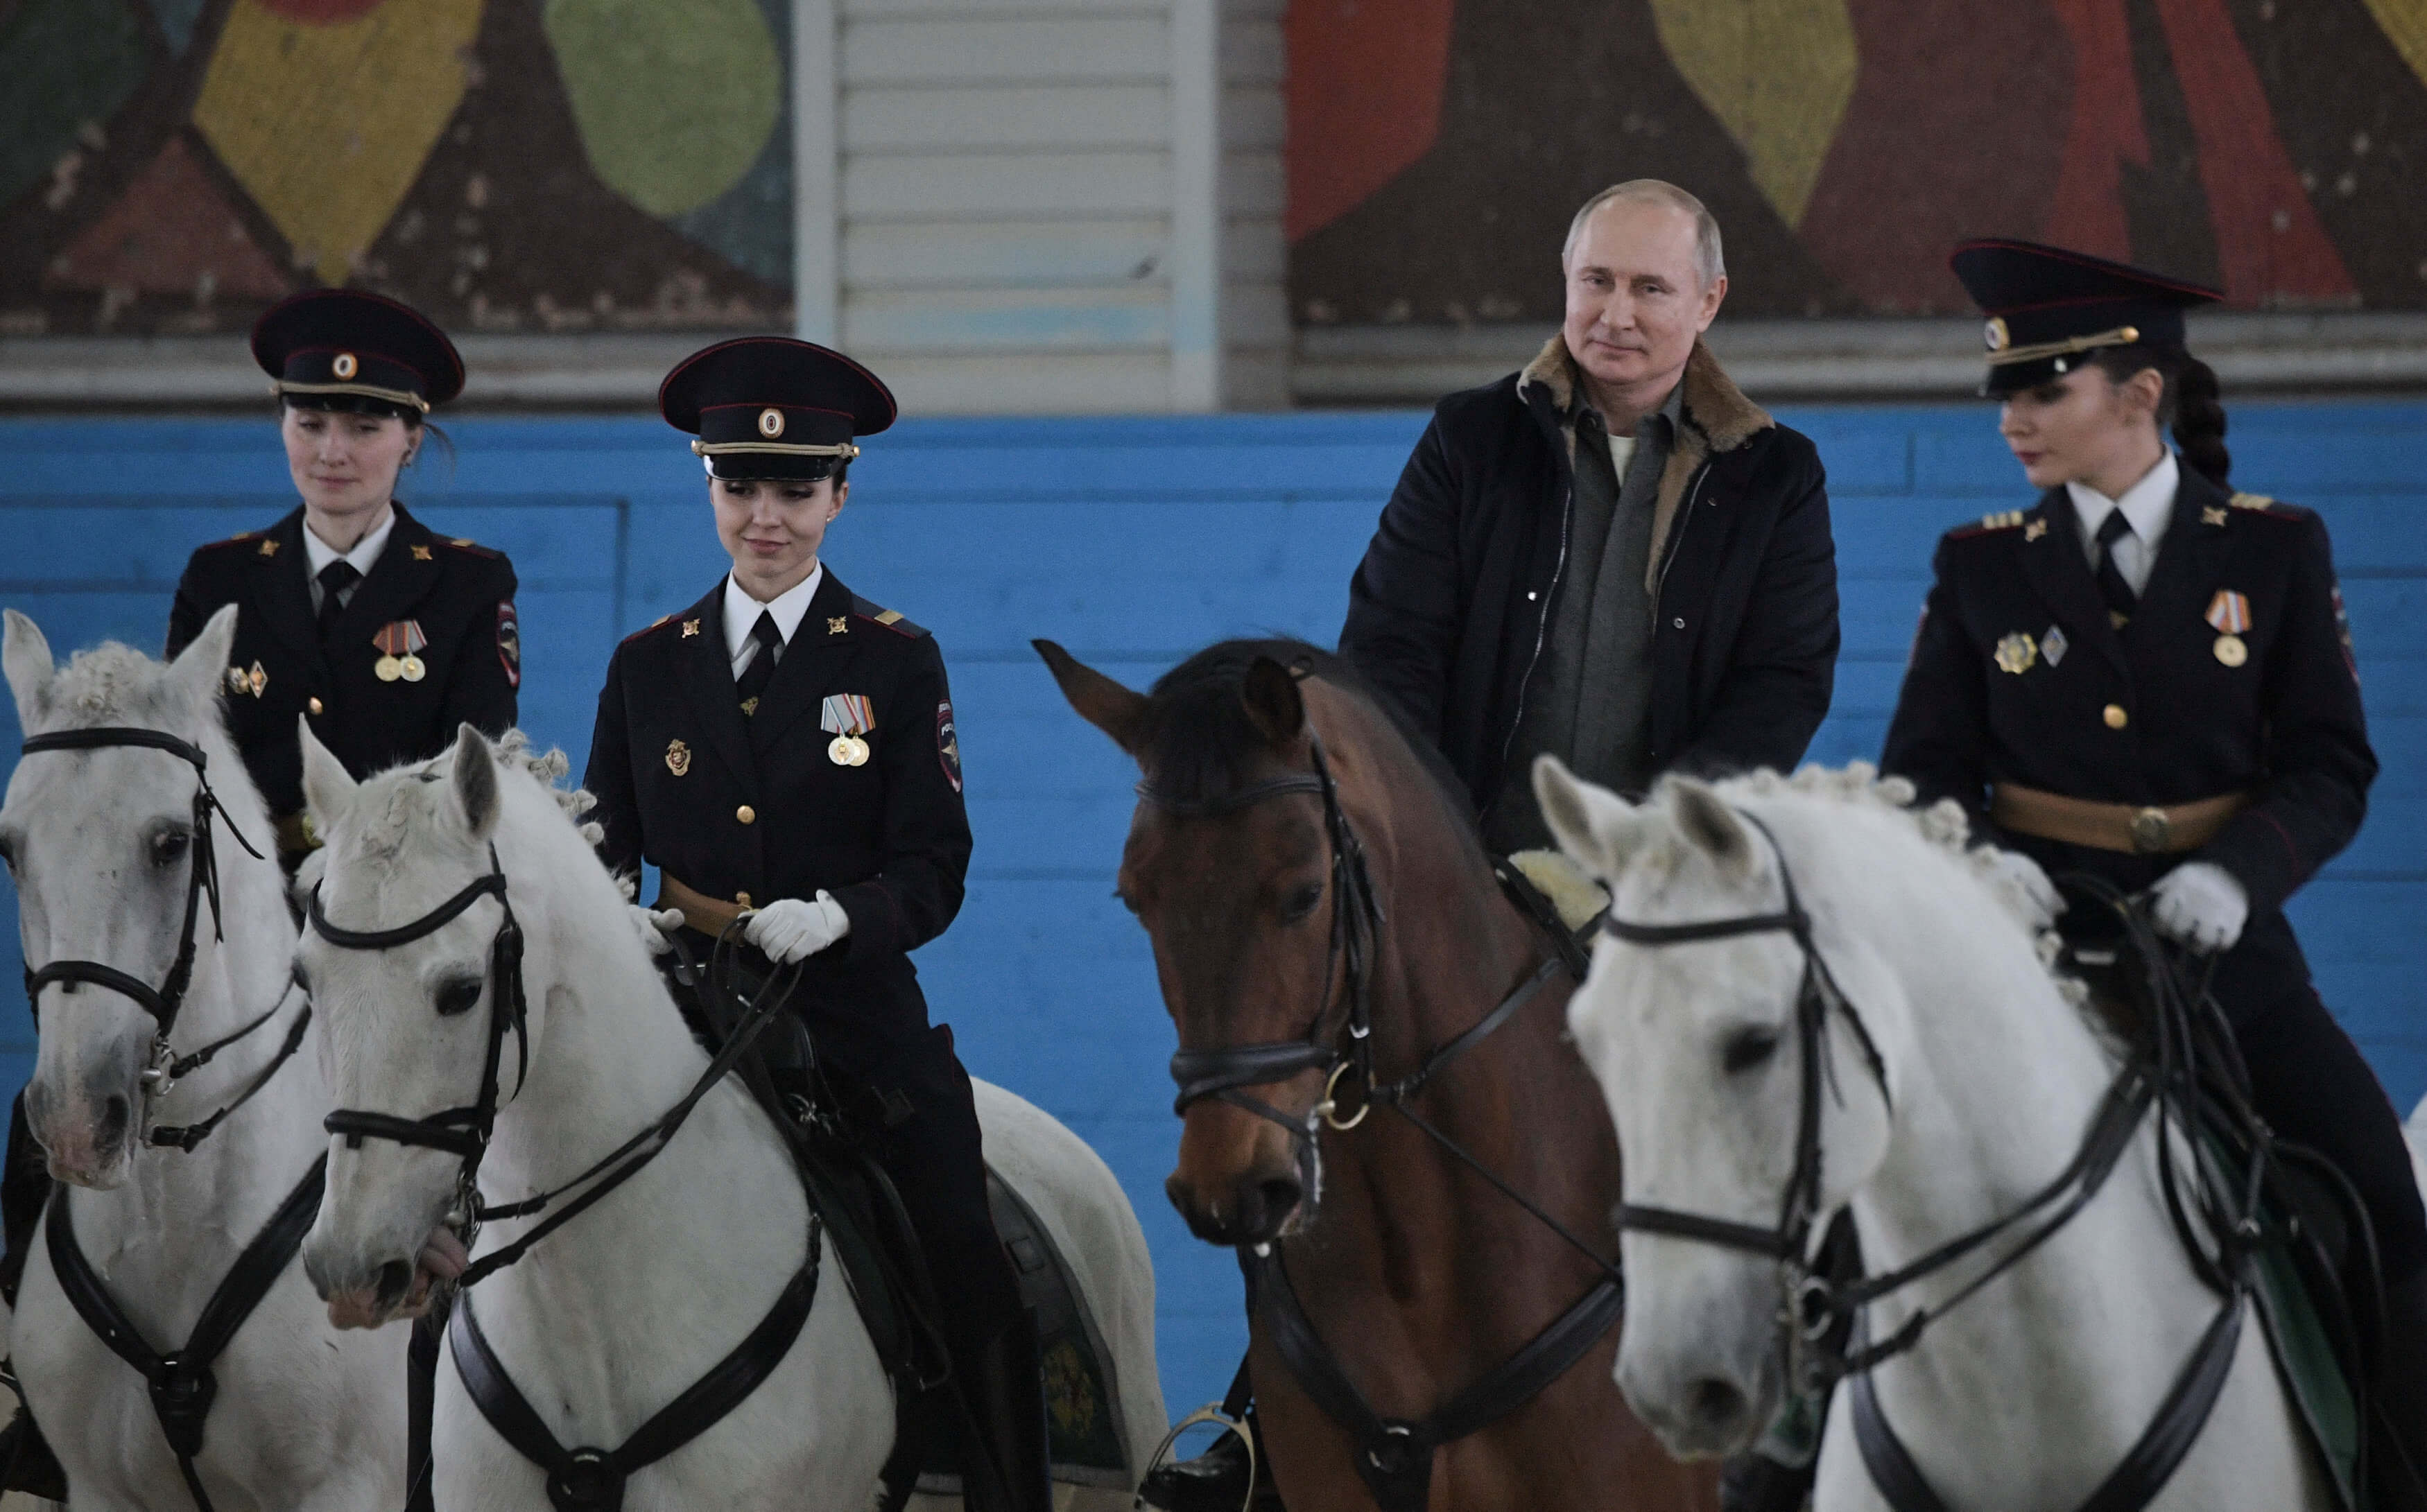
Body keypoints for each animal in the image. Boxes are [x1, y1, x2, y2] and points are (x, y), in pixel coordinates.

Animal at [0, 609, 408, 1504]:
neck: (173, 1225)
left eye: (171, 842)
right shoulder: (99, 1490)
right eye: (11, 848)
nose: (78, 1121)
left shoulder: (350, 1487)